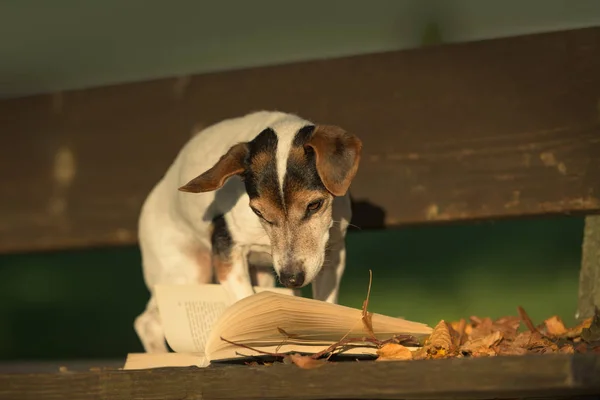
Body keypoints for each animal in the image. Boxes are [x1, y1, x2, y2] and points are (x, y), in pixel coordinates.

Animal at [135, 111, 360, 352]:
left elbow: (325, 302)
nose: (291, 279)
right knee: (147, 322)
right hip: (187, 274)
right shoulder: (228, 254)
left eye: (315, 205)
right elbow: (243, 302)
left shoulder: (332, 255)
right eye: (258, 211)